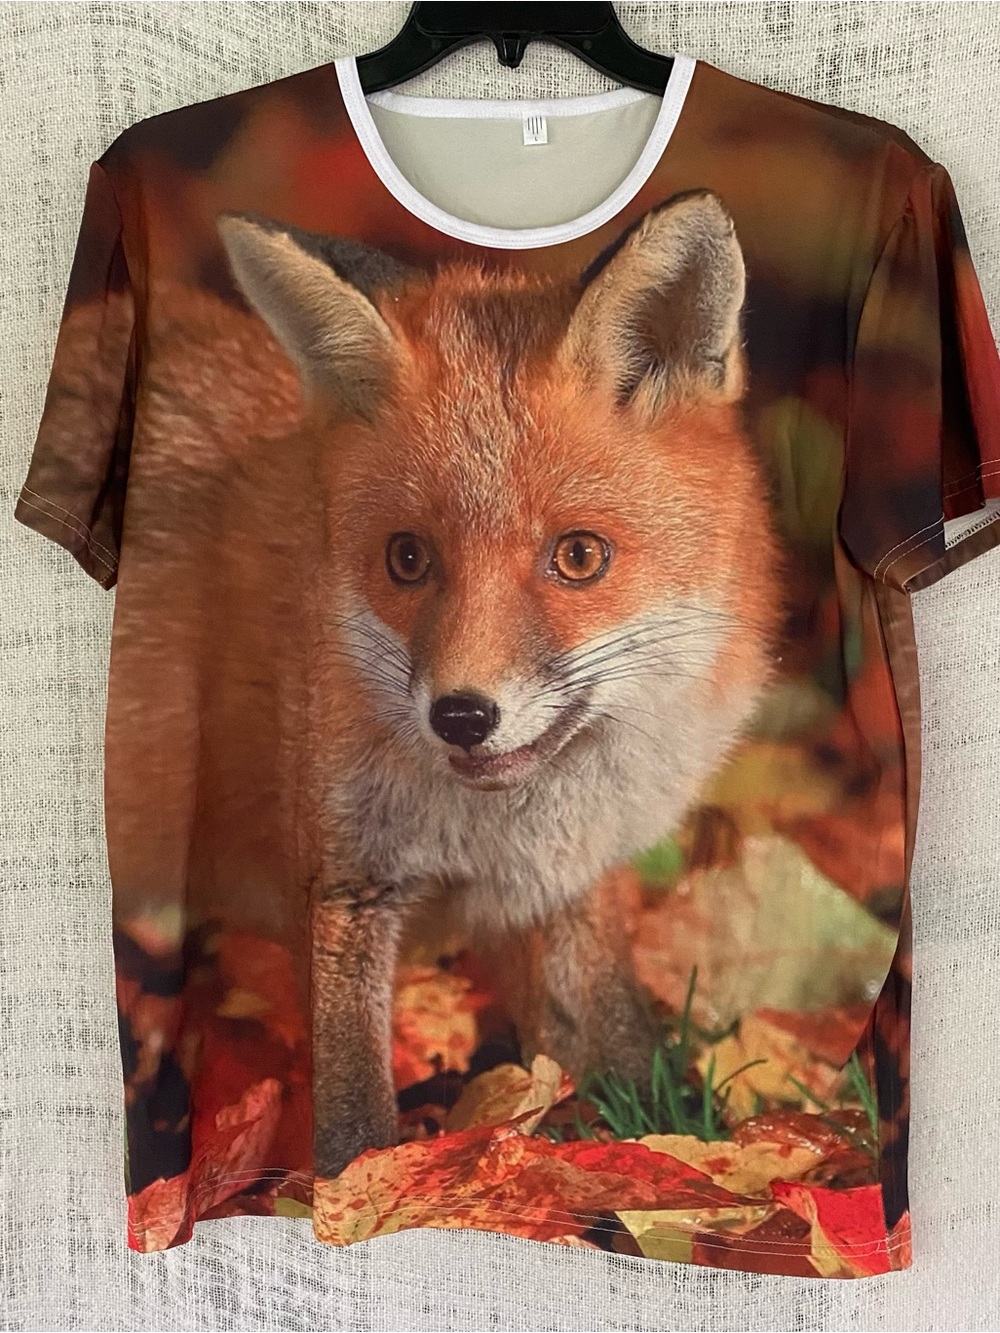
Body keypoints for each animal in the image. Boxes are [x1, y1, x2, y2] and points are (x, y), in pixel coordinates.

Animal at [210, 187, 785, 1178]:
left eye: (579, 557)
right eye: (407, 559)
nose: (462, 715)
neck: (493, 833)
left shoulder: (567, 884)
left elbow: (622, 1045)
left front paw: (679, 1149)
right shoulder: (344, 875)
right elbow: (354, 1113)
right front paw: (354, 1192)